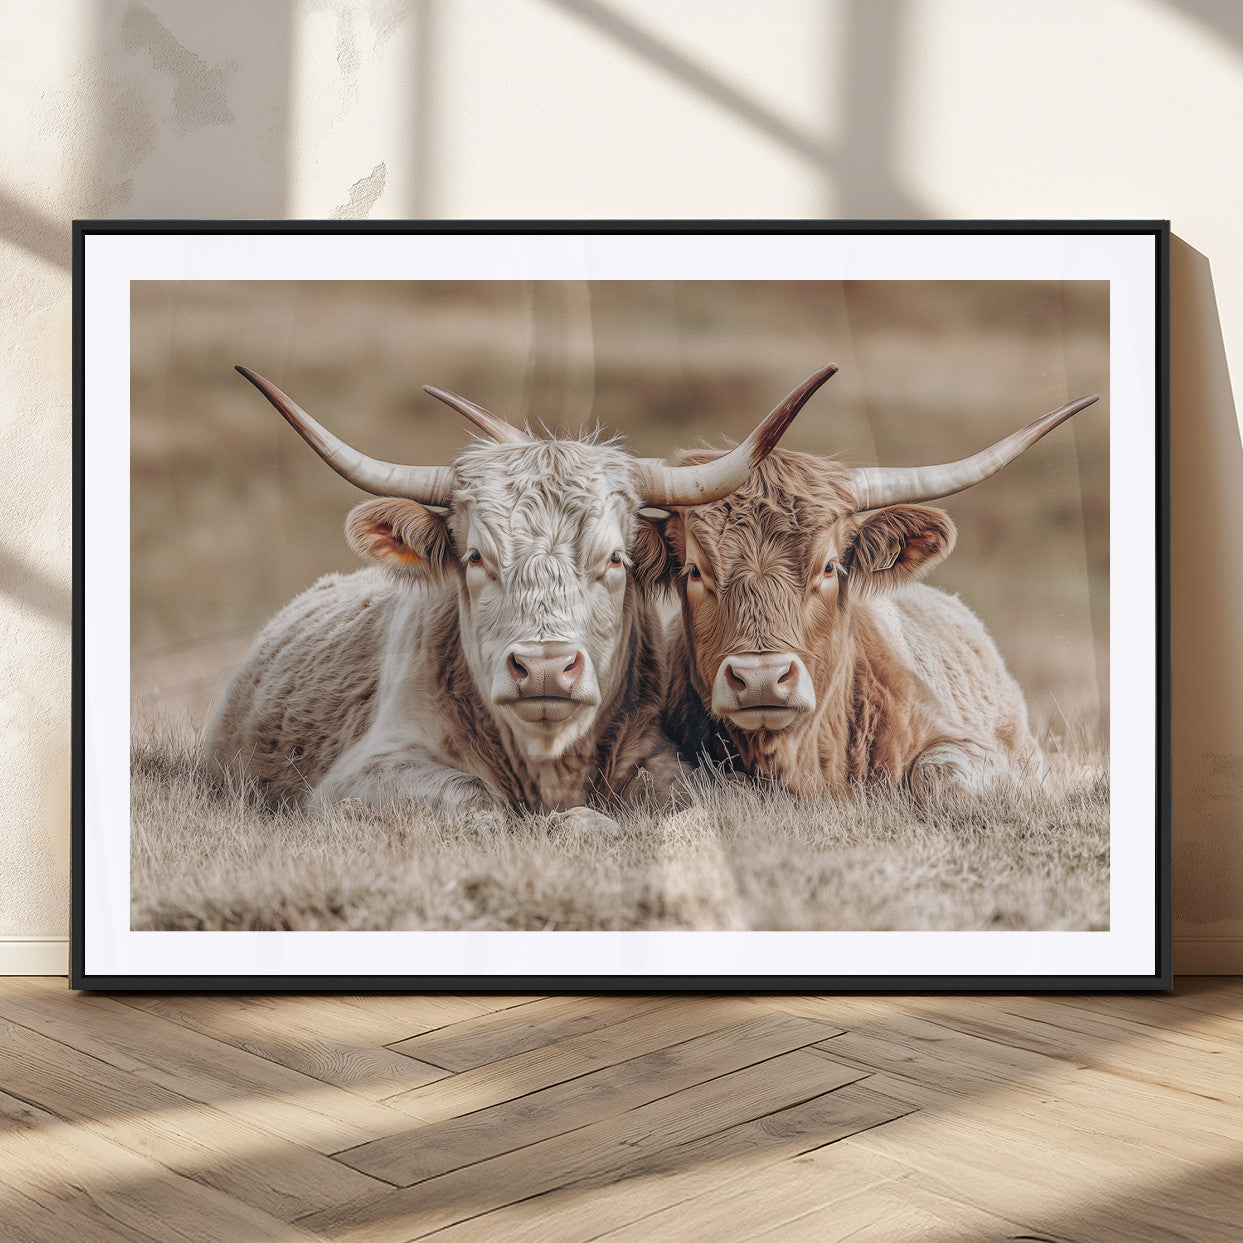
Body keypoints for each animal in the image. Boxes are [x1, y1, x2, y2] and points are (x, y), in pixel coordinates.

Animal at [202, 364, 836, 822]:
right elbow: (477, 803)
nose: (545, 668)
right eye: (476, 557)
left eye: (615, 558)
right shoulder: (365, 774)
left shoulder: (661, 756)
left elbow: (705, 797)